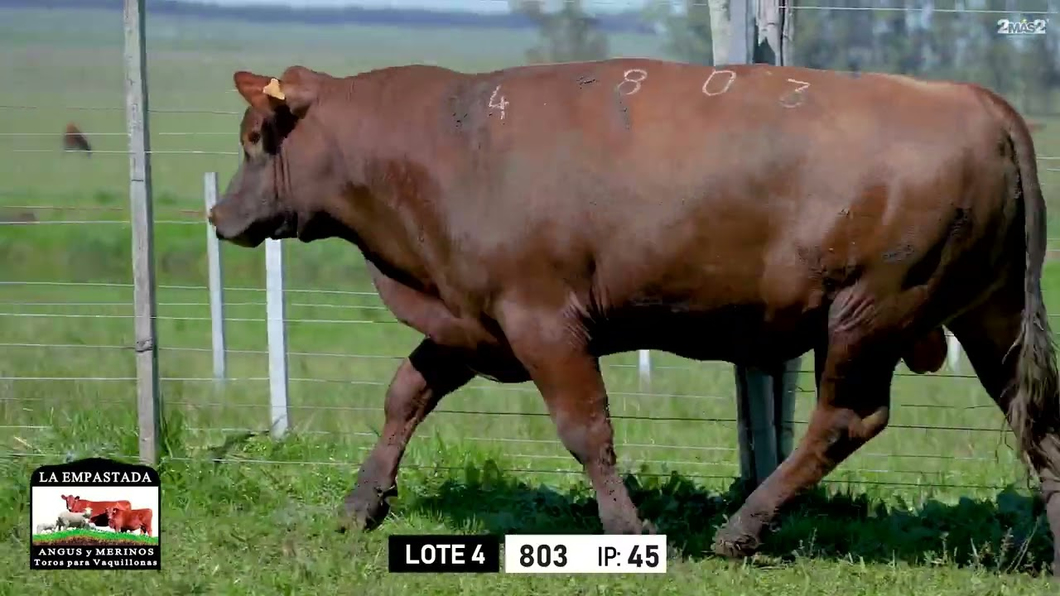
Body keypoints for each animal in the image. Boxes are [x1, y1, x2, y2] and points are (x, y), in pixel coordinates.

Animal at [208, 59, 1060, 572]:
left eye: (254, 139)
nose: (218, 216)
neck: (446, 146)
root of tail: (972, 98)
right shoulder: (474, 321)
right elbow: (405, 393)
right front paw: (363, 501)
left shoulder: (542, 320)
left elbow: (586, 428)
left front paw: (627, 528)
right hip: (988, 314)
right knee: (1036, 422)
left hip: (867, 313)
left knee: (847, 419)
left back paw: (741, 528)